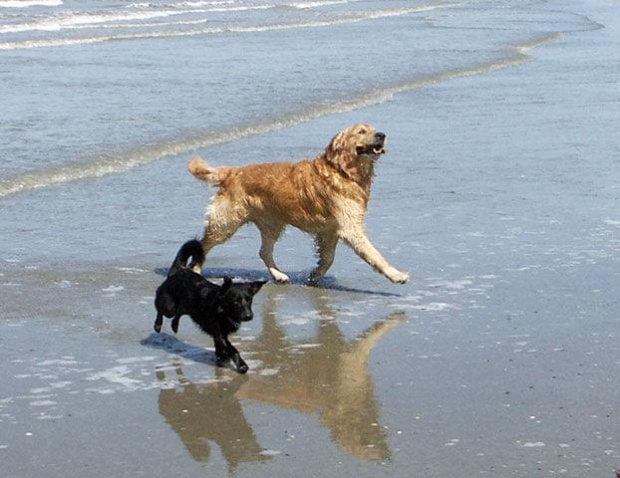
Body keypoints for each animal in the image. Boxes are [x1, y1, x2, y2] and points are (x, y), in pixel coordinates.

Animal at [154, 239, 266, 374]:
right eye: (236, 301)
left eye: (249, 300)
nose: (249, 316)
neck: (222, 309)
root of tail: (178, 270)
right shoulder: (219, 333)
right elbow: (232, 350)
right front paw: (241, 365)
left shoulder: (219, 334)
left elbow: (221, 347)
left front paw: (221, 358)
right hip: (169, 307)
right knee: (159, 307)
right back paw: (157, 325)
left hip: (188, 307)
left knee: (179, 312)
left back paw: (174, 325)